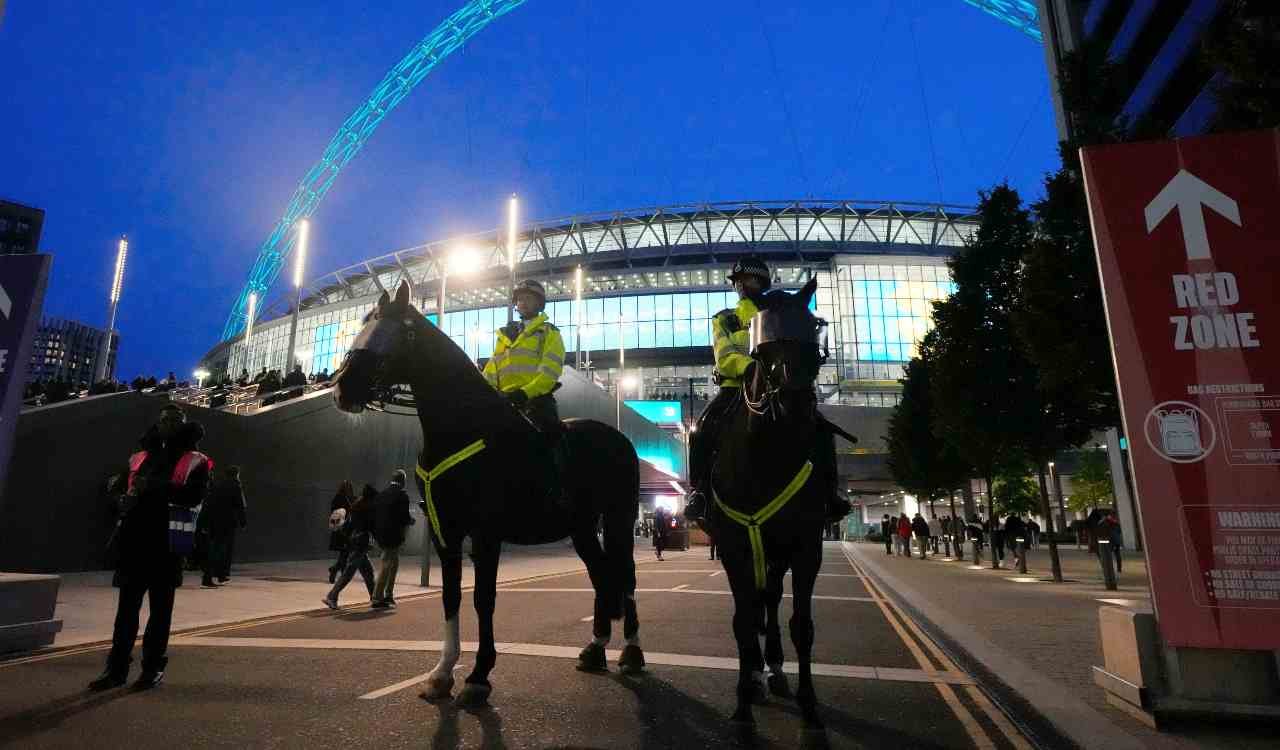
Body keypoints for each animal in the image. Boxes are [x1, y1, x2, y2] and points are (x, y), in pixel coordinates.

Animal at [335, 281, 645, 706]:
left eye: (404, 332)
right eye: (365, 323)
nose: (343, 387)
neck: (463, 428)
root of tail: (618, 438)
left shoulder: (485, 534)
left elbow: (484, 598)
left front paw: (479, 675)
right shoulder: (445, 534)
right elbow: (451, 597)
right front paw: (442, 673)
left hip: (619, 517)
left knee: (625, 575)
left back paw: (631, 652)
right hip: (582, 528)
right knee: (600, 574)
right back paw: (595, 649)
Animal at [706, 277, 834, 726]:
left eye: (814, 329)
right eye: (765, 342)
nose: (796, 402)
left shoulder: (807, 548)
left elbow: (802, 625)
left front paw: (809, 701)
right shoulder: (733, 549)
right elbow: (743, 622)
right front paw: (744, 699)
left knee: (774, 600)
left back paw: (775, 669)